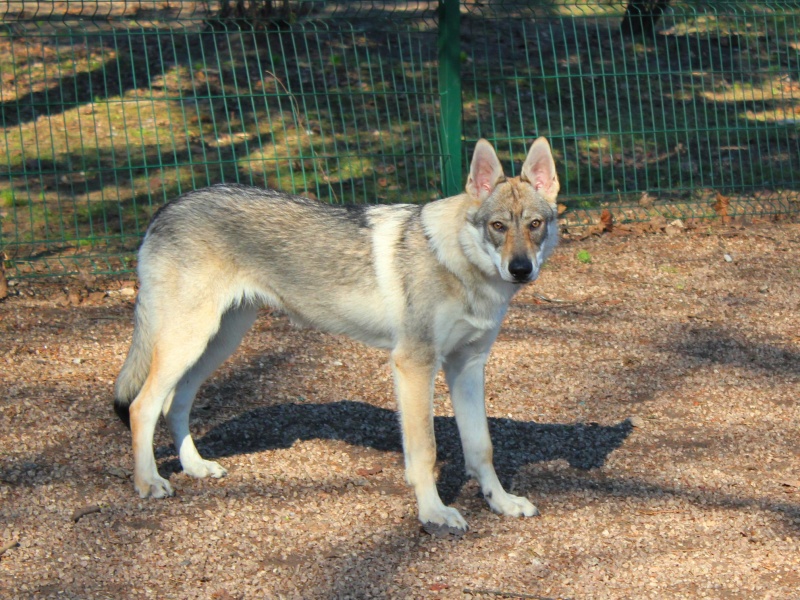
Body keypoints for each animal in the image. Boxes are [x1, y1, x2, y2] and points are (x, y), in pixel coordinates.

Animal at [112, 137, 560, 536]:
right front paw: (434, 513)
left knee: (175, 404)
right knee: (142, 406)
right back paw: (148, 481)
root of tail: (166, 208)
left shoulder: (467, 367)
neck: (458, 262)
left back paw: (195, 467)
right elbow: (425, 452)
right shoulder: (414, 365)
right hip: (188, 342)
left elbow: (482, 447)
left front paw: (501, 503)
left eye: (534, 225)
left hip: (216, 344)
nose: (520, 269)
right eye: (498, 226)